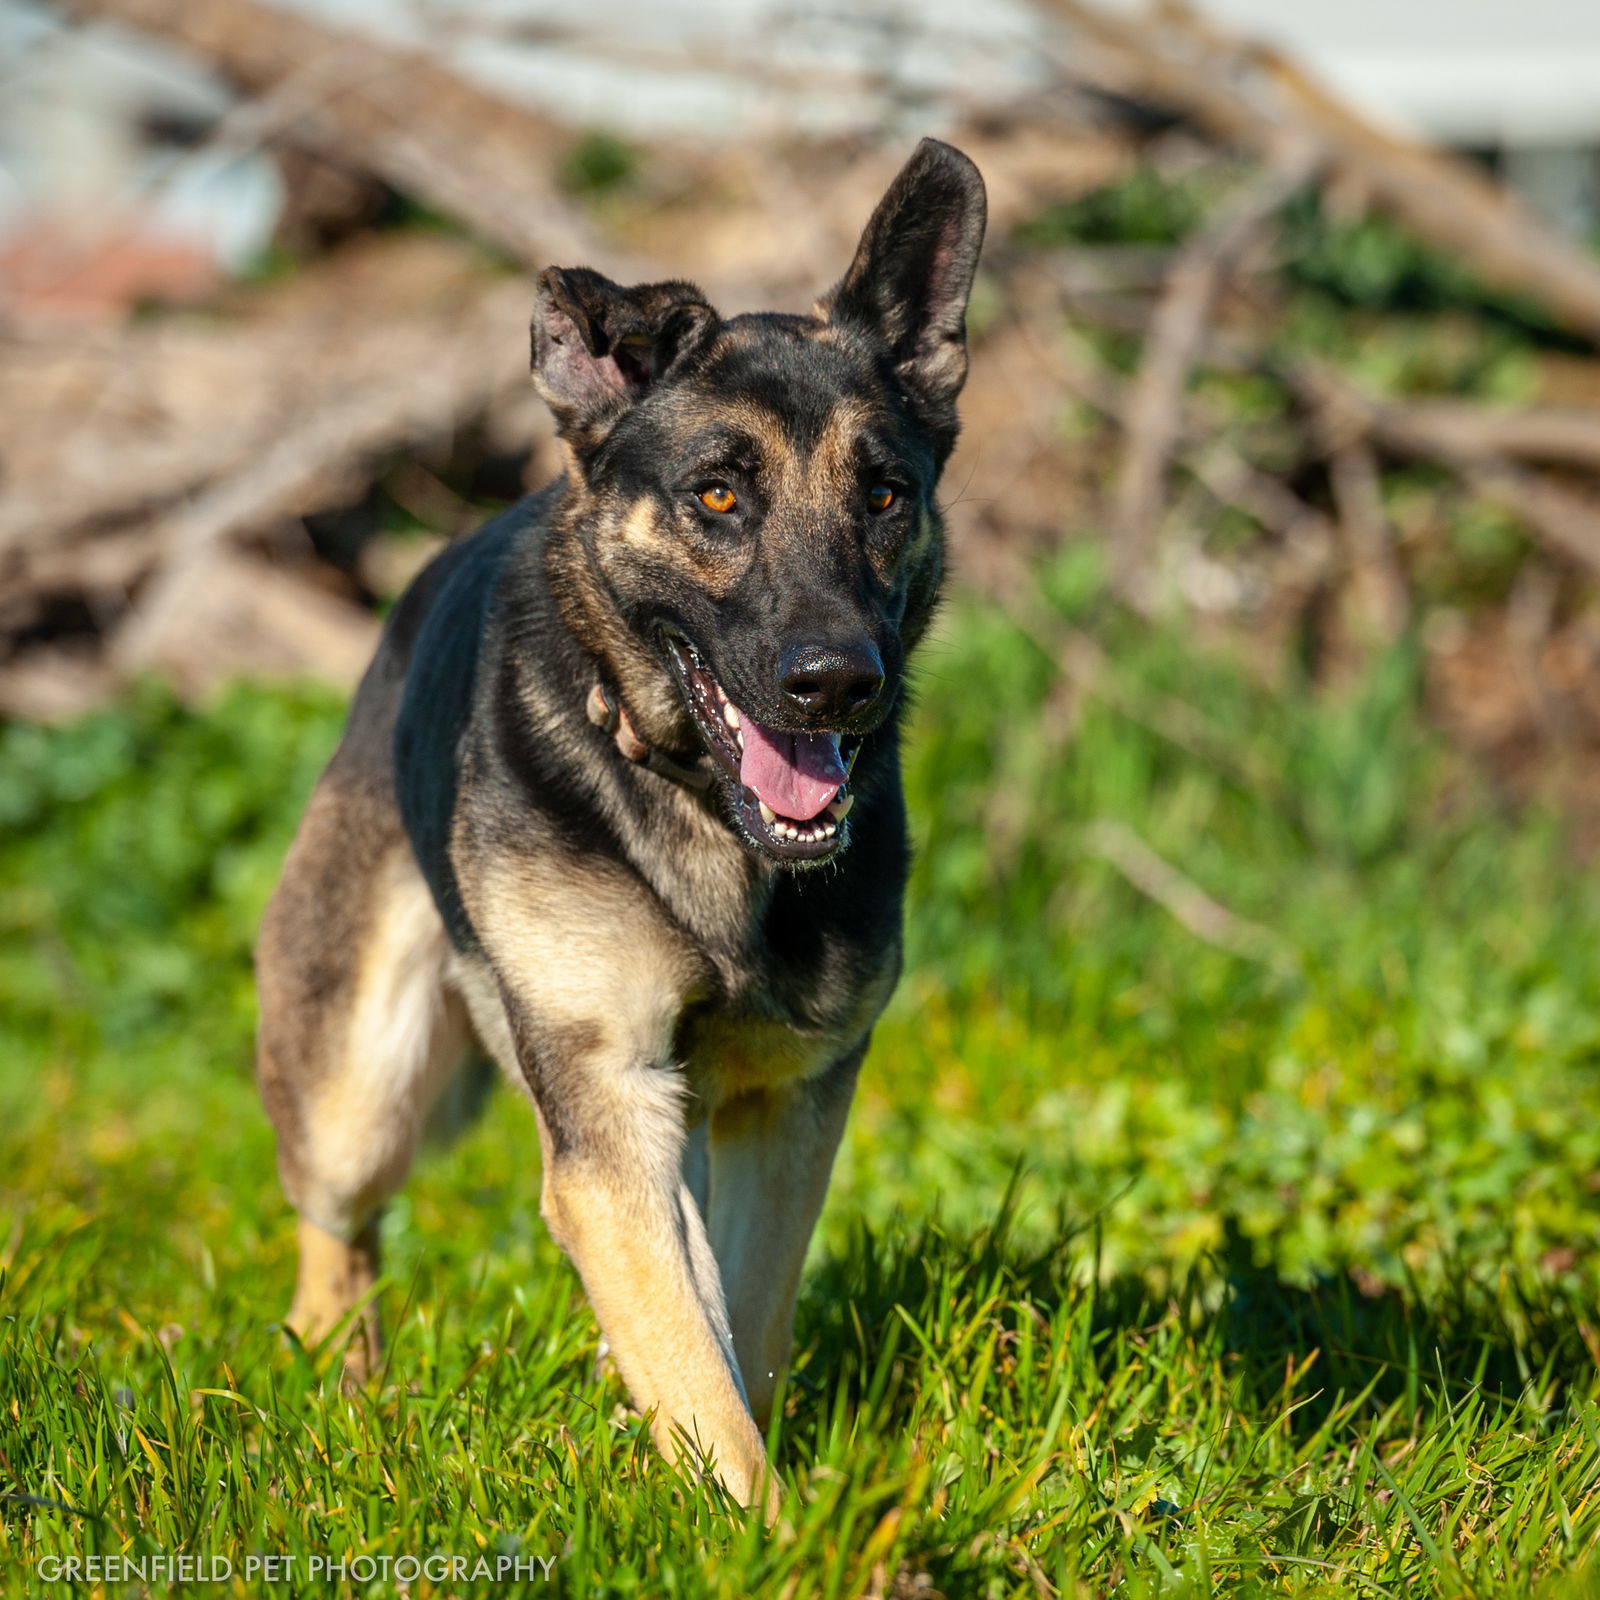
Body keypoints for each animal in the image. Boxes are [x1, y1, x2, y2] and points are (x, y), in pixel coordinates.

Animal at [259, 137, 985, 1510]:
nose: (836, 682)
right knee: (337, 1225)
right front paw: (766, 1529)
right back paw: (340, 1386)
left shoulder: (785, 1103)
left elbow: (737, 1319)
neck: (701, 817)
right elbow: (694, 1350)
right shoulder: (604, 1108)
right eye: (717, 496)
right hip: (358, 1084)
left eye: (882, 495)